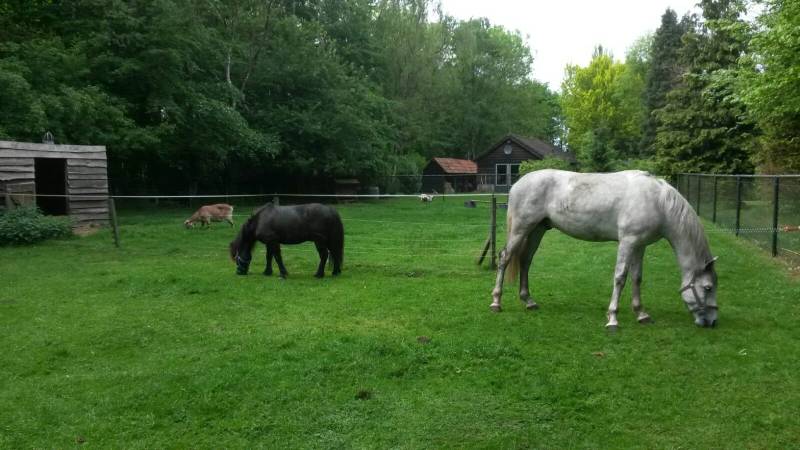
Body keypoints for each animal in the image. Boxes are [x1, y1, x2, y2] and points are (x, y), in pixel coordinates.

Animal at [490, 169, 718, 329]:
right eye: (708, 288)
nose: (712, 322)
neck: (657, 202)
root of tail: (517, 184)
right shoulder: (628, 241)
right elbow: (620, 278)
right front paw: (613, 319)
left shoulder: (639, 245)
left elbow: (637, 278)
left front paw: (641, 314)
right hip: (521, 228)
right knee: (505, 258)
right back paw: (496, 302)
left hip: (537, 230)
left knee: (525, 261)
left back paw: (529, 301)